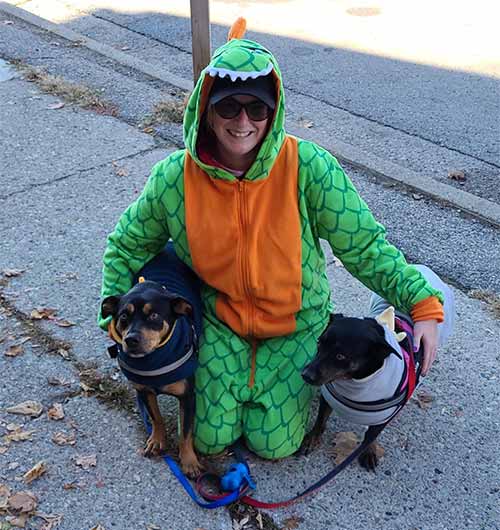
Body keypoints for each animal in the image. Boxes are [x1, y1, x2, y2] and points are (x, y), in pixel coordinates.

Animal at [101, 278, 203, 476]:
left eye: (154, 316)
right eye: (123, 316)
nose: (131, 340)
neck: (153, 360)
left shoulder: (188, 397)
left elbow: (186, 433)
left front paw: (189, 461)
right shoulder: (144, 391)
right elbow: (156, 417)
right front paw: (157, 440)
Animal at [300, 306, 410, 470]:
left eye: (341, 356)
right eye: (319, 342)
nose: (306, 375)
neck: (354, 380)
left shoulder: (383, 417)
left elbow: (371, 436)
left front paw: (369, 451)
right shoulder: (327, 399)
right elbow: (320, 420)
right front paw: (312, 439)